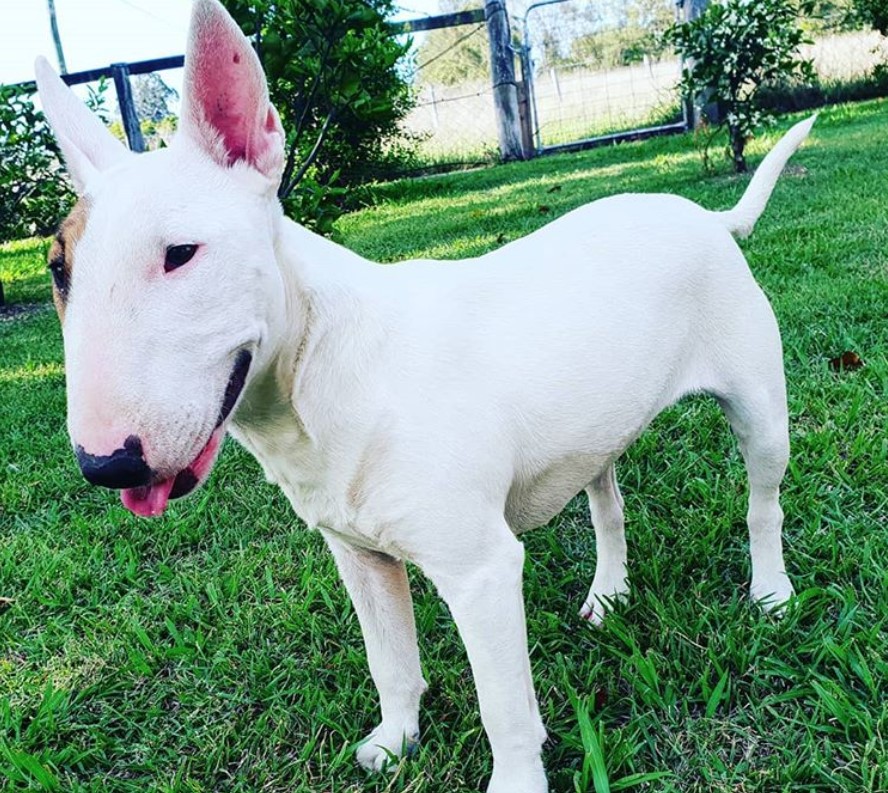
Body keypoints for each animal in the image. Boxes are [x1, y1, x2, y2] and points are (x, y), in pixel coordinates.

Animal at [33, 3, 812, 788]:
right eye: (58, 268)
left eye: (181, 254)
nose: (107, 465)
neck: (321, 370)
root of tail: (708, 219)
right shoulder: (360, 557)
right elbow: (391, 662)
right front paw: (396, 740)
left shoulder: (480, 571)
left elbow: (504, 707)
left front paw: (516, 779)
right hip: (596, 431)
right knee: (609, 507)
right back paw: (608, 595)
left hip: (759, 411)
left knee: (763, 504)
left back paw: (771, 592)